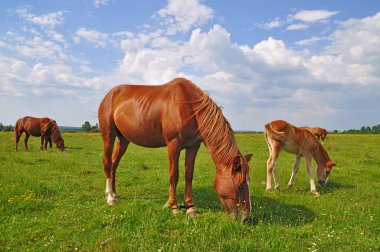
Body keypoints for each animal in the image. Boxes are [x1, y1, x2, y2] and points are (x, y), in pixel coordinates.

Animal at [98, 78, 252, 220]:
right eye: (240, 186)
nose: (246, 217)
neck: (190, 107)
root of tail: (109, 95)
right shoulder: (173, 144)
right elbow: (174, 175)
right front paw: (173, 206)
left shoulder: (193, 146)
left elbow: (189, 175)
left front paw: (190, 208)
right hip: (108, 135)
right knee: (107, 163)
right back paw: (110, 197)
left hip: (123, 140)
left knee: (114, 164)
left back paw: (115, 194)